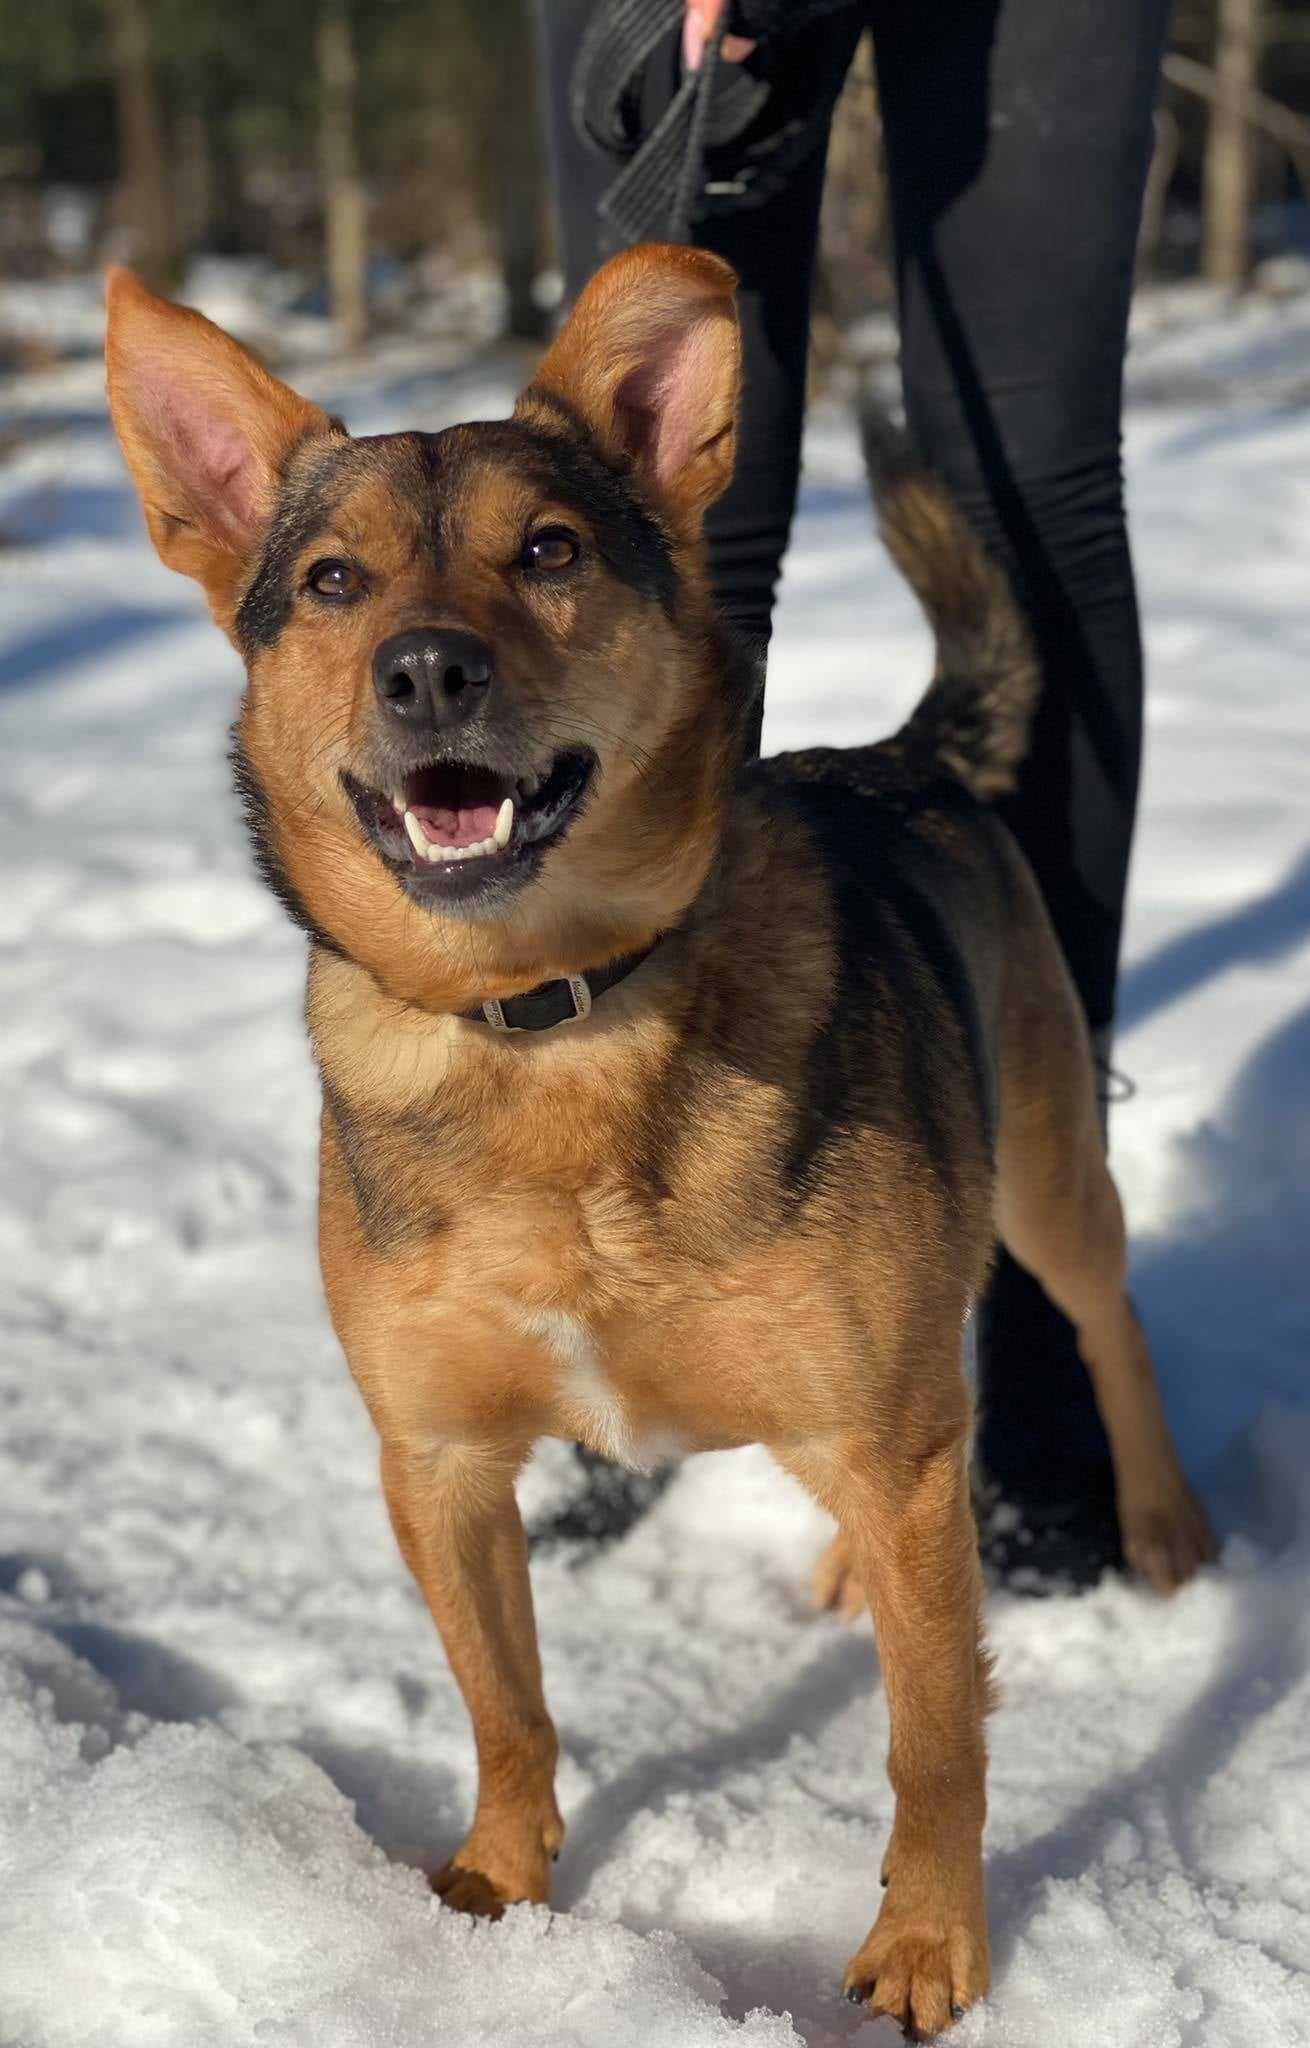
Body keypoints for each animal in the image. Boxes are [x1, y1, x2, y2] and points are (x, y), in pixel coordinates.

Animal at [107, 239, 1211, 2031]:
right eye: (332, 582)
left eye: (547, 551)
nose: (428, 669)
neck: (545, 1016)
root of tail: (901, 753)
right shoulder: (440, 1460)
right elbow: (506, 1704)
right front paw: (492, 1891)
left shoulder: (890, 1435)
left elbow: (933, 1743)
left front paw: (928, 1948)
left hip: (1047, 1177)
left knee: (1093, 1319)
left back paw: (1162, 1522)